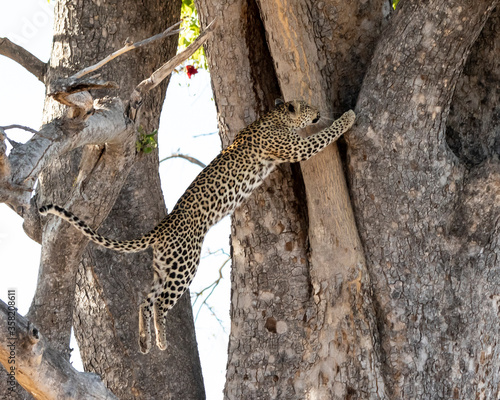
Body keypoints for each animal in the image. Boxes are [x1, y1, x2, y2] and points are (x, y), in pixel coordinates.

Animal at [40, 101, 356, 354]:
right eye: (306, 105)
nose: (317, 110)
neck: (273, 117)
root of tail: (162, 227)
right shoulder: (295, 147)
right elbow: (323, 136)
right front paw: (348, 117)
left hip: (164, 267)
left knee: (145, 300)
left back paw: (144, 342)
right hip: (185, 265)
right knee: (159, 303)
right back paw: (161, 341)